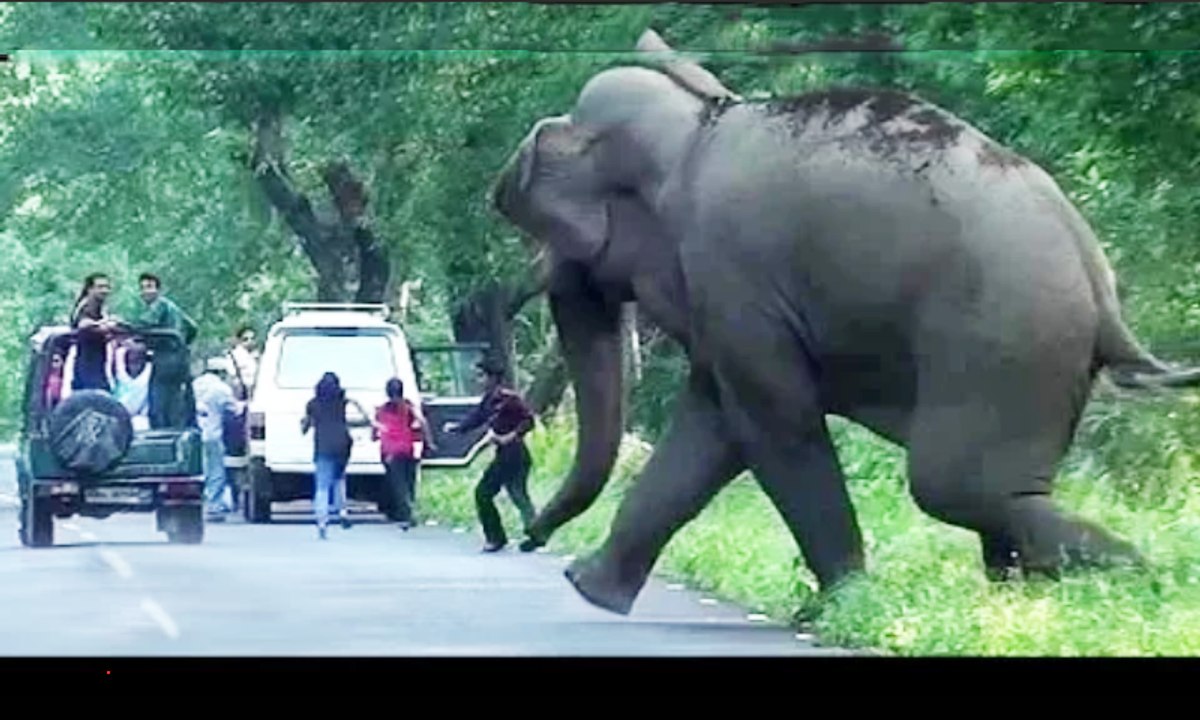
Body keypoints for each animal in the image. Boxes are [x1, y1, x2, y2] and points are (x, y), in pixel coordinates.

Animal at [490, 28, 1200, 616]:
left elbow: (776, 425)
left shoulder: (734, 275)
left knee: (954, 486)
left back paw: (1139, 584)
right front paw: (593, 590)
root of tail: (1101, 289)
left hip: (1002, 340)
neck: (699, 124)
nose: (531, 539)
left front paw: (839, 609)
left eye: (554, 238)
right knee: (990, 494)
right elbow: (714, 423)